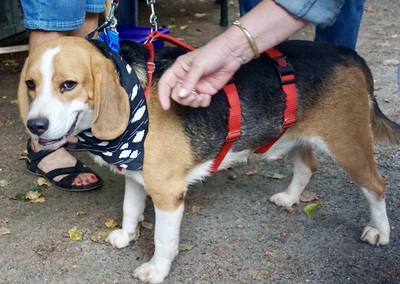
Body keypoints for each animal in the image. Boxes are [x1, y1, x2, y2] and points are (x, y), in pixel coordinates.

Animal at [17, 36, 400, 282]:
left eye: (69, 84)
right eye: (31, 84)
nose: (34, 126)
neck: (134, 91)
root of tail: (346, 53)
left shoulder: (168, 193)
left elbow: (163, 240)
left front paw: (156, 270)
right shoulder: (137, 176)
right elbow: (129, 210)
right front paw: (126, 236)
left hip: (349, 144)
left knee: (376, 185)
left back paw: (379, 231)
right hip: (293, 133)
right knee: (308, 166)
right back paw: (290, 198)